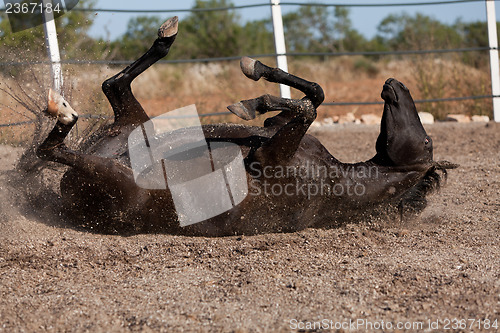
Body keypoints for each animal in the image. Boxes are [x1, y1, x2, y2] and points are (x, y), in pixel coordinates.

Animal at [35, 16, 458, 235]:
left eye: (427, 142)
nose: (395, 84)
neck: (336, 180)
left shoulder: (270, 158)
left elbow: (309, 109)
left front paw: (255, 96)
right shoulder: (275, 132)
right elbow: (313, 97)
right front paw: (256, 85)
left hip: (119, 179)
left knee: (51, 148)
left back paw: (63, 111)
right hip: (134, 127)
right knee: (114, 85)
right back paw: (166, 36)